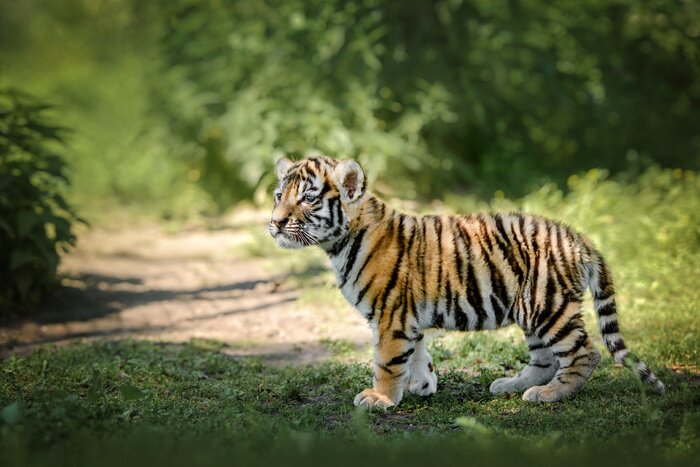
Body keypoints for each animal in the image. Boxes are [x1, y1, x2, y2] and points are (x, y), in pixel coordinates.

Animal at [269, 156, 665, 409]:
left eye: (307, 198)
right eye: (278, 195)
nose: (274, 222)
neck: (339, 242)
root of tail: (578, 237)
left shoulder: (389, 315)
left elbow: (387, 361)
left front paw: (379, 398)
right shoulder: (405, 317)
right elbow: (416, 352)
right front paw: (423, 384)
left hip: (547, 306)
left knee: (584, 353)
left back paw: (551, 395)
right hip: (531, 309)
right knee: (545, 359)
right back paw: (512, 386)